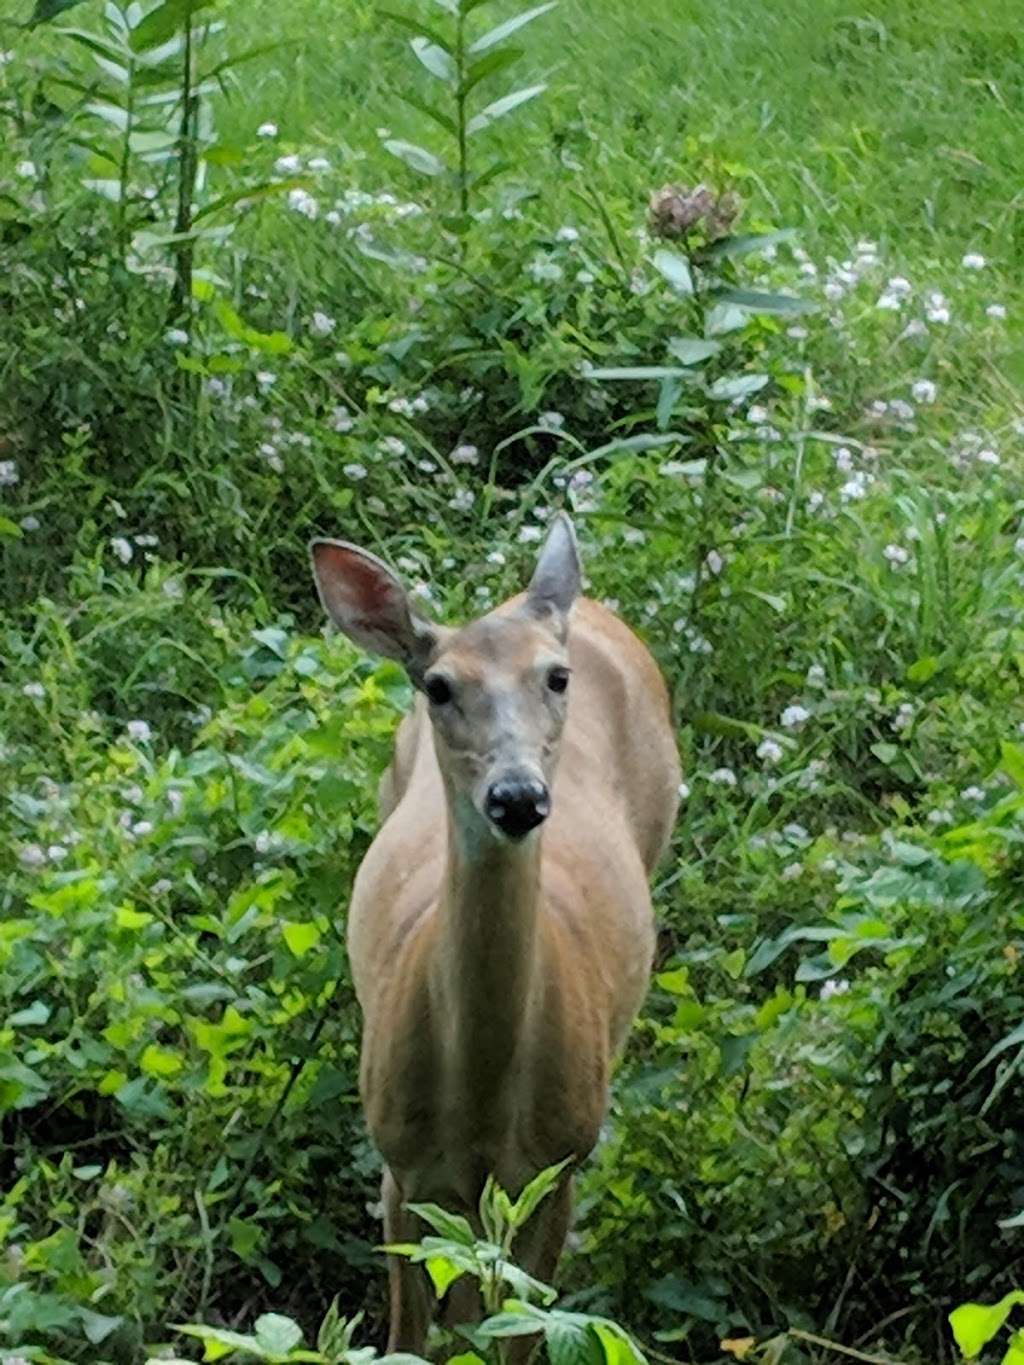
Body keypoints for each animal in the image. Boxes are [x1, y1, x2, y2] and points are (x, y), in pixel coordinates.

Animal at [312, 513, 682, 1354]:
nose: (517, 795)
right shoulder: (400, 1168)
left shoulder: (557, 1167)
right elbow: (407, 1335)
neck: (478, 1101)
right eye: (439, 685)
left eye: (556, 677)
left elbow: (523, 1325)